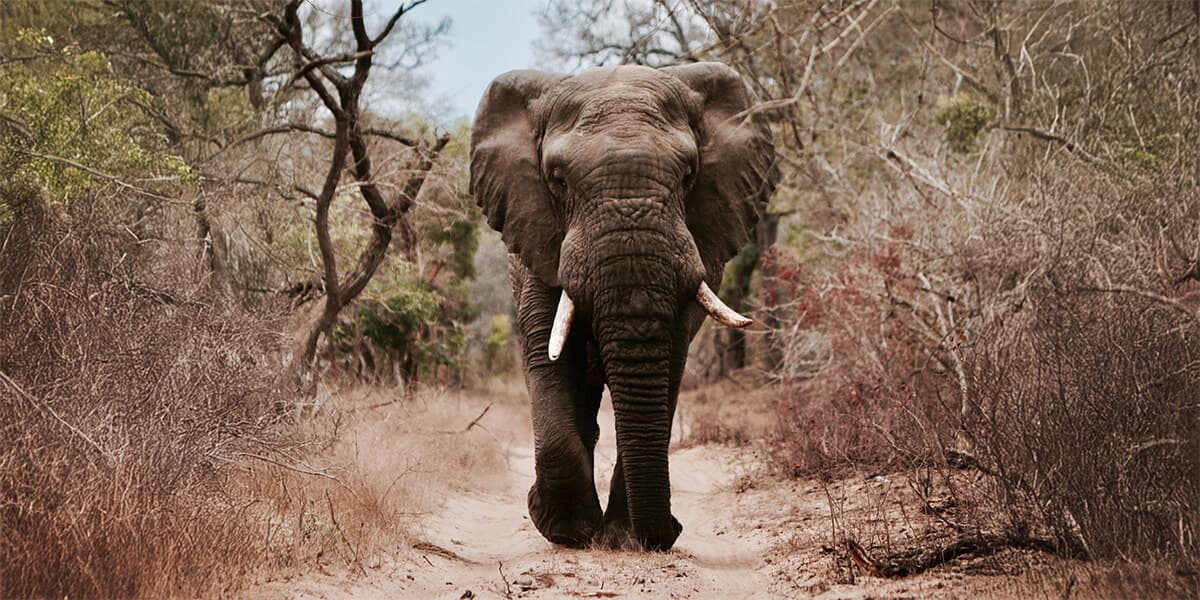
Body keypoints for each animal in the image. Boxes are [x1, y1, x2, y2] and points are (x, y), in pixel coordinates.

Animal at [469, 62, 777, 551]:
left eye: (688, 176)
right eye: (558, 180)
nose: (671, 530)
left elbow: (669, 360)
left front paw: (623, 537)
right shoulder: (537, 234)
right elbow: (548, 354)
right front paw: (567, 531)